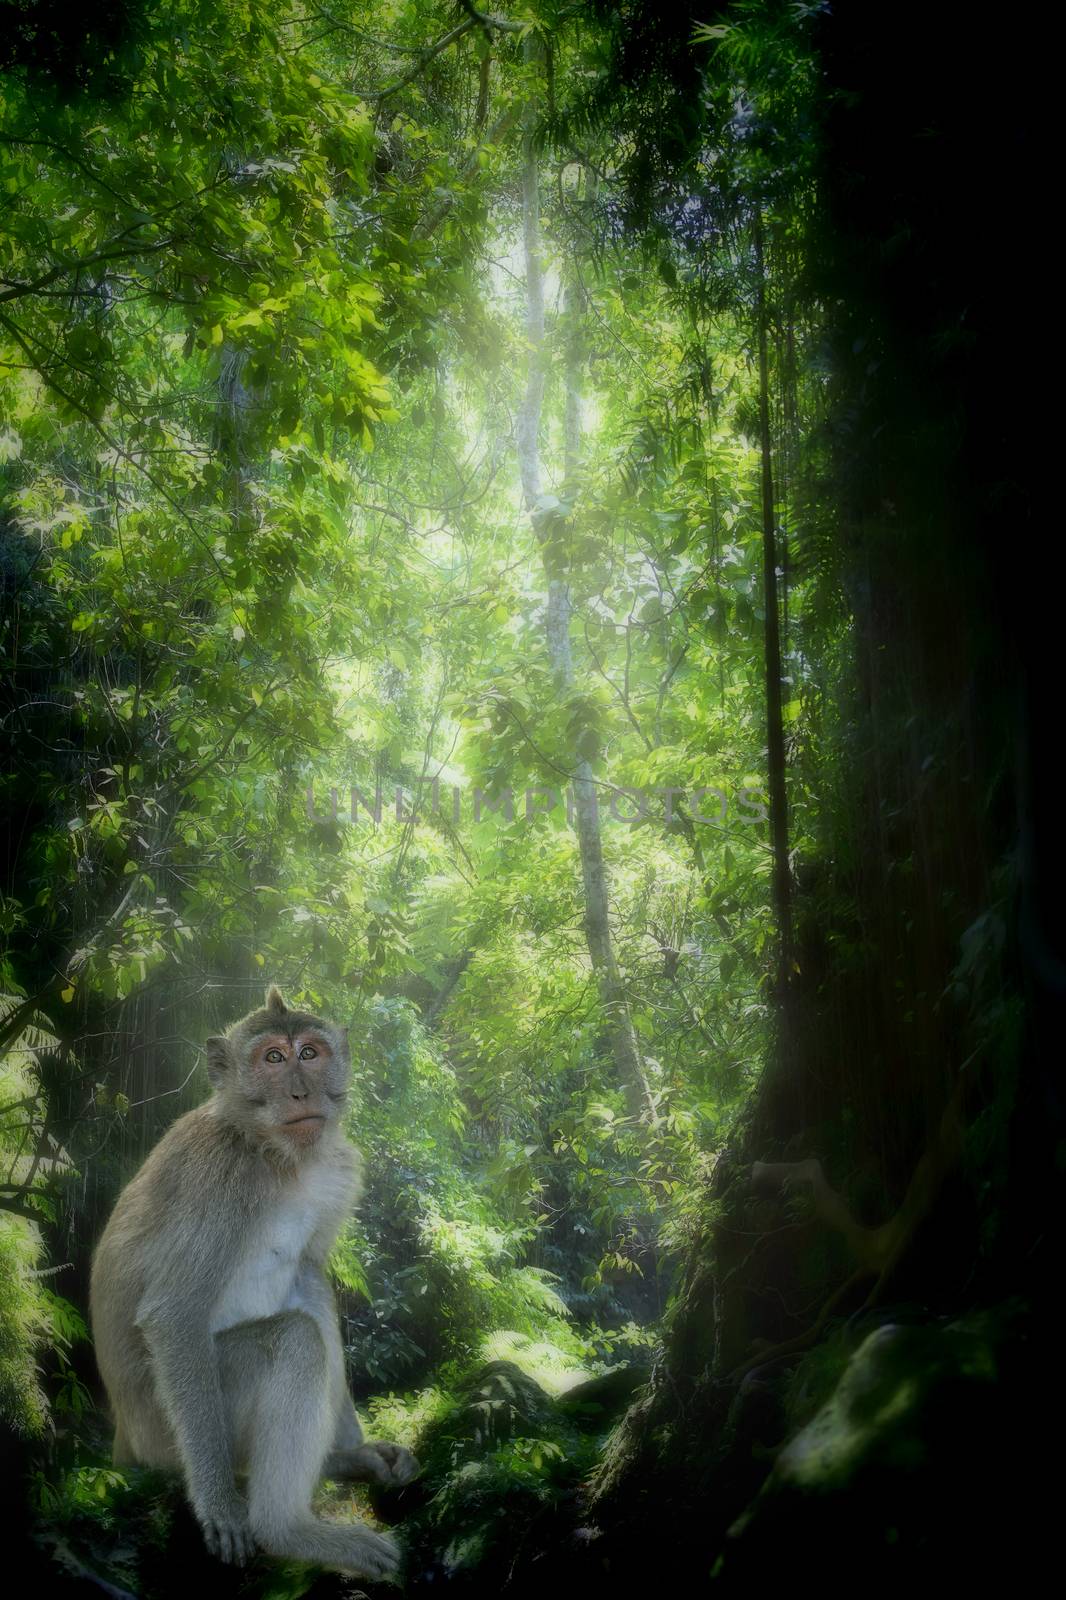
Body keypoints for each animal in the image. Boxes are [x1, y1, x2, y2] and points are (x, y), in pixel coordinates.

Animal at [89, 985, 416, 1574]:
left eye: (309, 1053)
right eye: (273, 1058)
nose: (299, 1090)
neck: (273, 1154)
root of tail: (125, 1438)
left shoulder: (337, 1170)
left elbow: (310, 1275)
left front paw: (355, 1451)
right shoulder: (217, 1177)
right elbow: (174, 1313)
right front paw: (220, 1505)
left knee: (309, 1302)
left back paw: (336, 1462)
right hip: (167, 1432)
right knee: (294, 1340)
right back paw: (286, 1530)